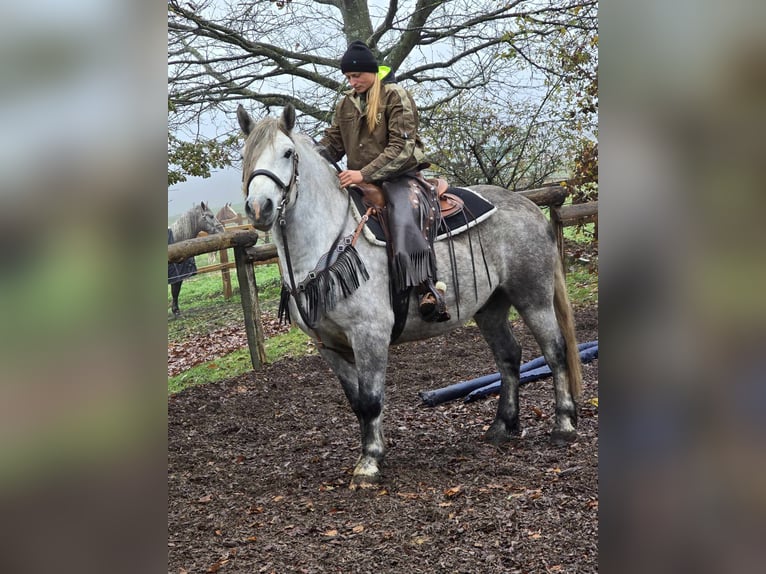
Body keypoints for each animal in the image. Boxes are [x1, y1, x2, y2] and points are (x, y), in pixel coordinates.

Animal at [238, 104, 584, 490]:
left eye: (288, 153)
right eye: (246, 155)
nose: (259, 207)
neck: (329, 240)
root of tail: (528, 205)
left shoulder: (369, 334)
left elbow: (371, 399)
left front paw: (369, 462)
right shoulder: (328, 345)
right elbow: (356, 402)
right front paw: (374, 451)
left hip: (533, 297)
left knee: (555, 352)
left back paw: (563, 425)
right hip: (490, 307)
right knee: (509, 357)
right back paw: (501, 427)